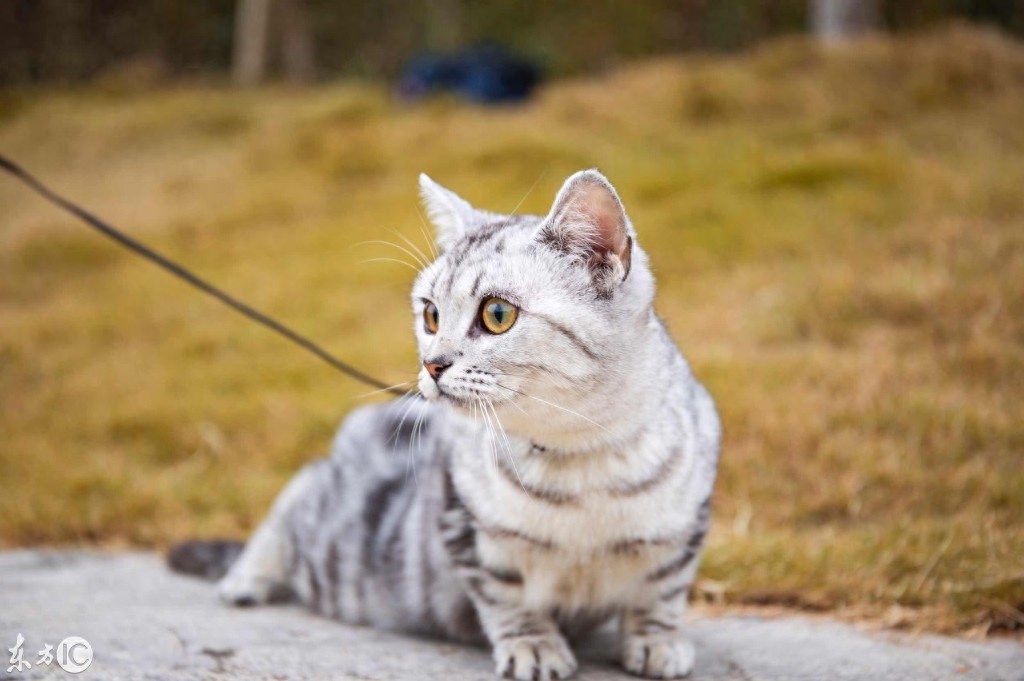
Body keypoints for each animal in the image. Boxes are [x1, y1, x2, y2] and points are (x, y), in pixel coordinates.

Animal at [172, 169, 720, 679]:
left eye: (497, 314)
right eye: (430, 315)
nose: (432, 365)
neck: (578, 457)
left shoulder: (686, 530)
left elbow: (661, 593)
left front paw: (655, 642)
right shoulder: (465, 527)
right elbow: (509, 600)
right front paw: (534, 646)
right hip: (329, 490)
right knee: (283, 513)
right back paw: (244, 579)